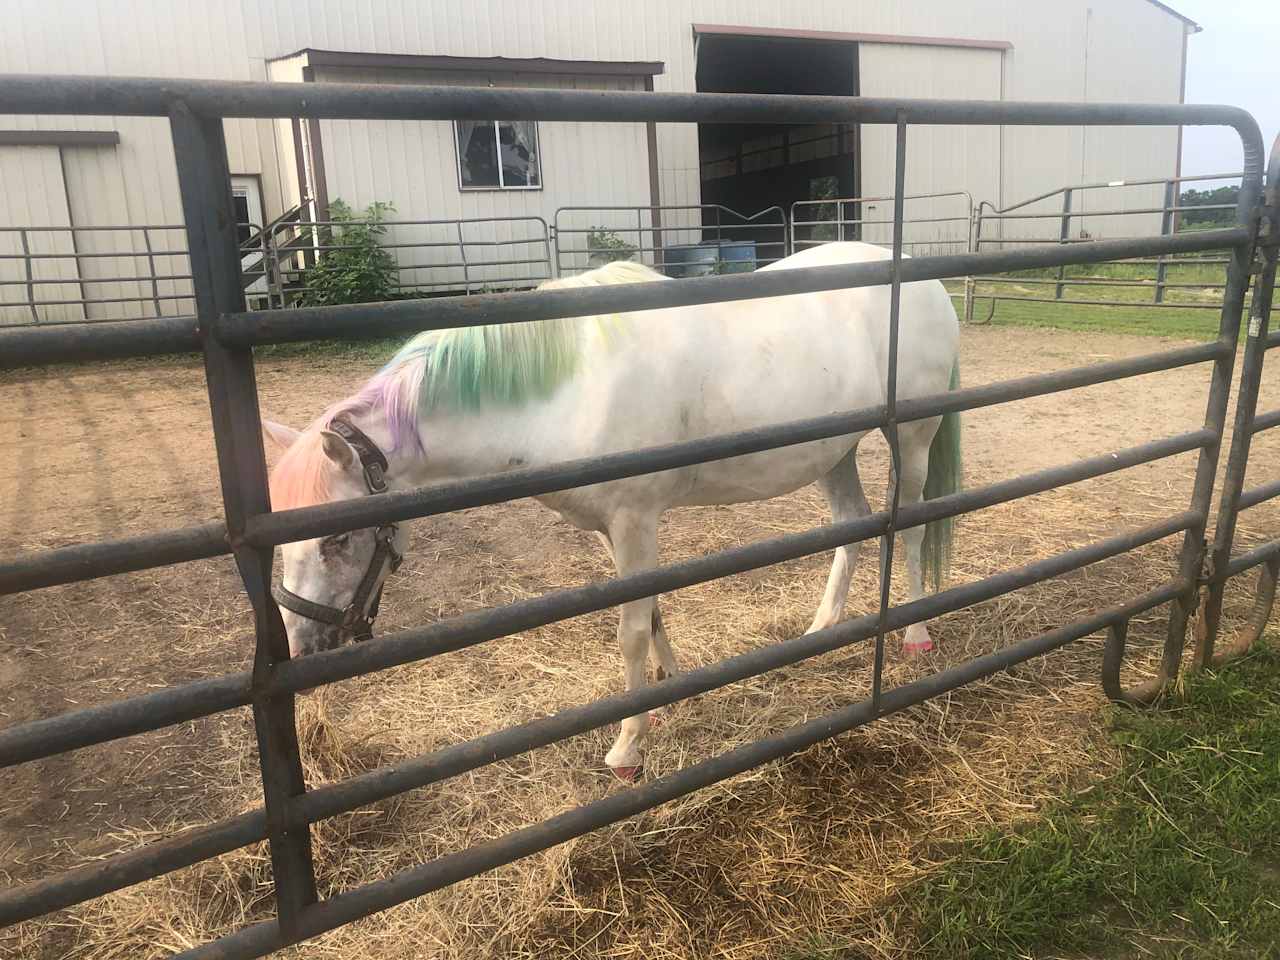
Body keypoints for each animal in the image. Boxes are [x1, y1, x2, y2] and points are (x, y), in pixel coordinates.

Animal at [262, 241, 962, 783]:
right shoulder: (612, 529)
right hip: (835, 452)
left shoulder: (634, 520)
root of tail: (922, 279)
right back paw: (821, 630)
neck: (569, 386)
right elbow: (650, 611)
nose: (303, 645)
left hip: (912, 438)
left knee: (913, 523)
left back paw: (915, 635)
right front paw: (675, 685)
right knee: (855, 524)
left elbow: (629, 631)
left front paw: (628, 749)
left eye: (337, 541)